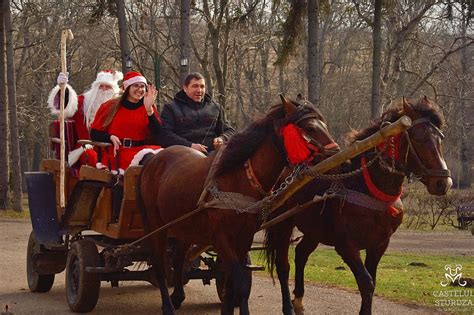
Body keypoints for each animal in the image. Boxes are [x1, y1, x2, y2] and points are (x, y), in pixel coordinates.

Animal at [139, 98, 338, 314]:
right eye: (310, 128)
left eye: (325, 125)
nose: (336, 153)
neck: (237, 178)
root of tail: (154, 159)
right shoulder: (221, 237)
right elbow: (240, 280)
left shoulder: (245, 236)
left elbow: (235, 280)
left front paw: (228, 306)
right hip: (157, 226)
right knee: (160, 265)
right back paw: (167, 305)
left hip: (185, 227)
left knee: (178, 258)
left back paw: (177, 296)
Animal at [264, 97, 454, 315]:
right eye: (419, 138)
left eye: (439, 139)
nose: (443, 183)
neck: (368, 189)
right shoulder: (346, 246)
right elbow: (366, 282)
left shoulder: (379, 244)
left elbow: (372, 280)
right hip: (283, 223)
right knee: (283, 265)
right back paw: (288, 305)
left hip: (315, 229)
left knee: (301, 253)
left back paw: (299, 300)